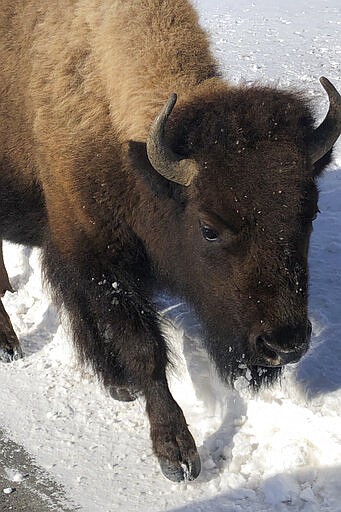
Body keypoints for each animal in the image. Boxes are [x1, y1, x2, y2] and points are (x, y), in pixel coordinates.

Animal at [0, 0, 340, 482]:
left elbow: (84, 312)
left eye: (310, 213)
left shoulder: (77, 255)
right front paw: (177, 453)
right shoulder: (99, 260)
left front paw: (116, 383)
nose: (284, 345)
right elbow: (145, 349)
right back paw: (8, 345)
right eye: (209, 227)